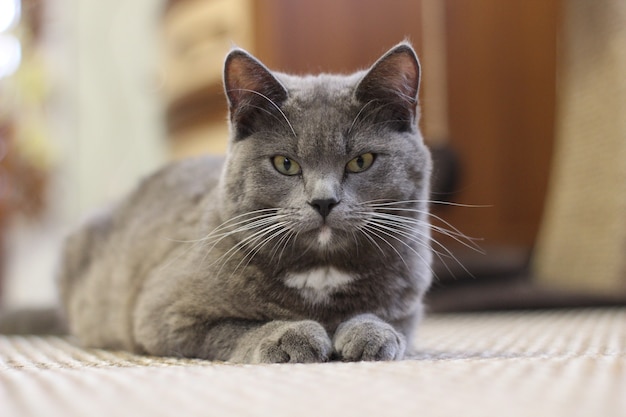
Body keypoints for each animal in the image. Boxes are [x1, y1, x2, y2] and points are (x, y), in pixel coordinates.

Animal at [18, 41, 428, 360]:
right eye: (285, 164)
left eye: (361, 161)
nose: (324, 201)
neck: (321, 271)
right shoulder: (163, 313)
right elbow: (234, 328)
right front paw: (290, 335)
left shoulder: (409, 305)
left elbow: (393, 323)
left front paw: (373, 334)